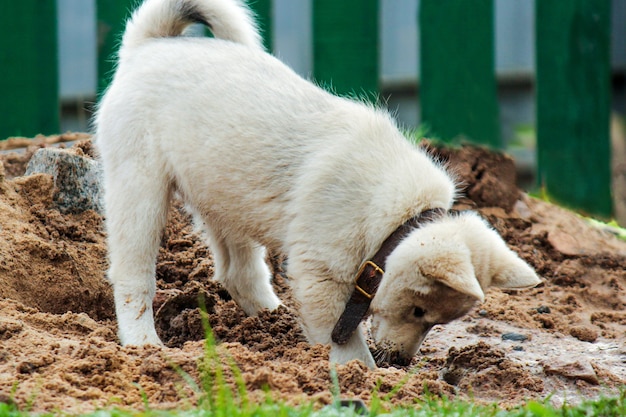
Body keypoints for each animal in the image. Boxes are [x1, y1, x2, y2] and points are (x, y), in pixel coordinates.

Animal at [95, 0, 540, 368]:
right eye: (419, 312)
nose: (400, 363)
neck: (396, 217)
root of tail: (150, 45)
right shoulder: (321, 278)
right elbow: (348, 345)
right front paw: (364, 377)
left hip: (227, 197)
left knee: (239, 274)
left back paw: (271, 323)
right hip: (141, 192)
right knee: (133, 276)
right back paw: (143, 343)